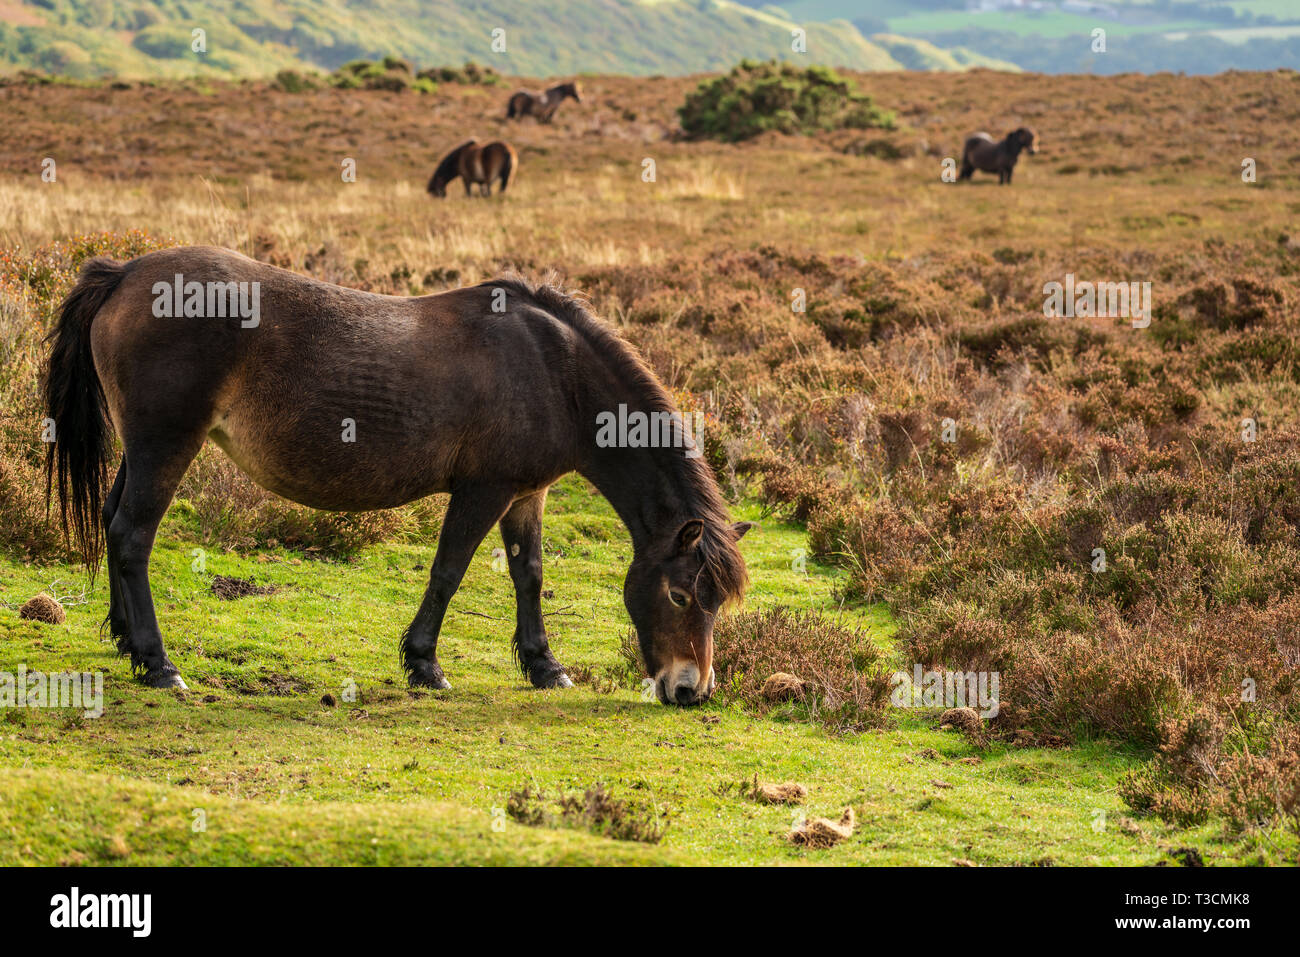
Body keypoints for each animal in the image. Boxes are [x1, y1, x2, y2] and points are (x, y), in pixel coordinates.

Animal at [43, 250, 754, 707]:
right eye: (682, 597)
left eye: (716, 602)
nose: (691, 691)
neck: (555, 372)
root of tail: (126, 273)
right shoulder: (484, 490)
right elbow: (449, 570)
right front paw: (425, 665)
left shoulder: (528, 493)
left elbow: (529, 574)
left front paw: (544, 667)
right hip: (166, 445)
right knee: (133, 536)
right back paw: (159, 665)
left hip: (141, 449)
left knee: (112, 522)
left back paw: (126, 642)